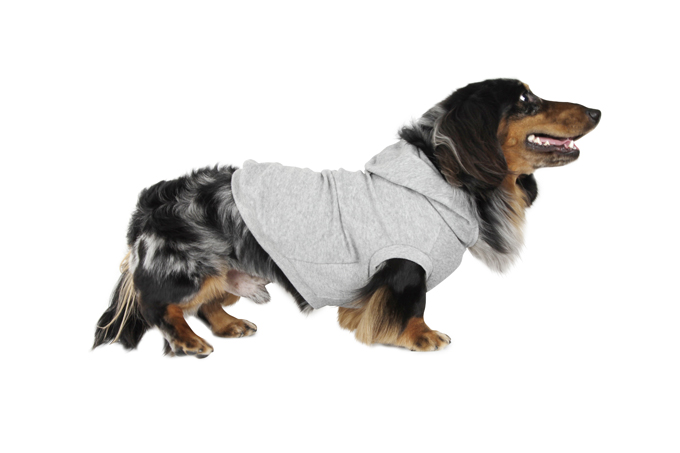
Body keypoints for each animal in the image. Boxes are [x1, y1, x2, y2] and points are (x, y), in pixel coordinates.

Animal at [93, 78, 600, 357]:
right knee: (162, 306)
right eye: (526, 101)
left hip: (224, 270)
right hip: (189, 269)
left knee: (205, 303)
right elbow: (412, 306)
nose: (597, 110)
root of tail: (152, 200)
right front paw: (420, 336)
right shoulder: (405, 266)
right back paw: (189, 342)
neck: (443, 173)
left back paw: (228, 325)